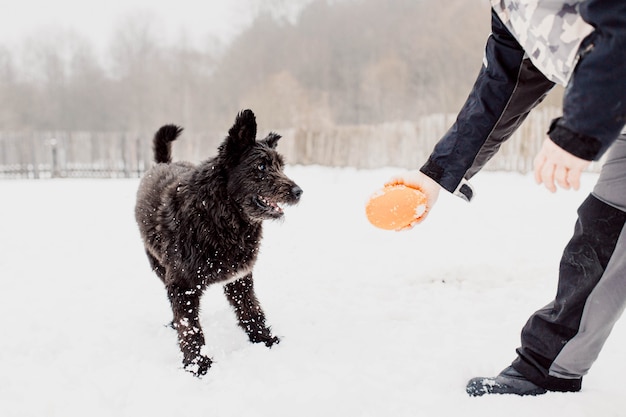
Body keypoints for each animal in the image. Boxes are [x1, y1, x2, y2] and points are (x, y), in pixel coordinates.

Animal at [134, 109, 302, 376]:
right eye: (261, 166)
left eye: (280, 166)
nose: (298, 192)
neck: (218, 215)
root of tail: (162, 163)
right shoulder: (182, 286)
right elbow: (189, 327)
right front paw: (198, 365)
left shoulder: (239, 278)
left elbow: (251, 310)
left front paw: (265, 340)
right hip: (158, 266)